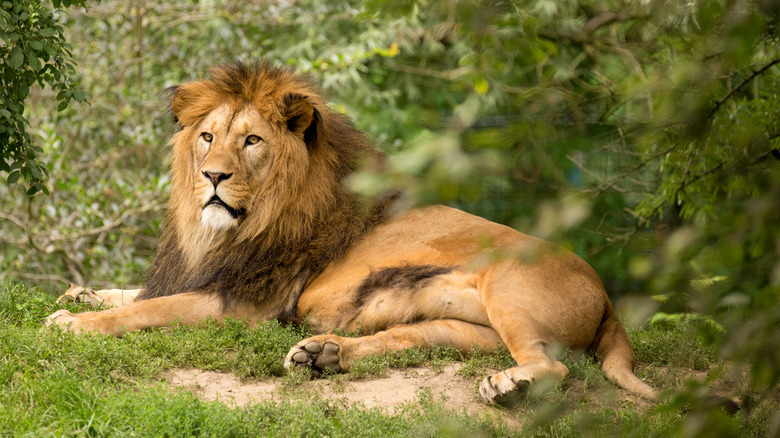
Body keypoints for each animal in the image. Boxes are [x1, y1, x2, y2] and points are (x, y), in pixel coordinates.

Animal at [47, 60, 660, 404]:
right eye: (207, 137)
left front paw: (73, 323)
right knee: (408, 342)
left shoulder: (242, 305)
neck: (227, 232)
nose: (212, 176)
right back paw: (324, 354)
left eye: (252, 141)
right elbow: (135, 293)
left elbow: (147, 310)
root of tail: (607, 297)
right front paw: (77, 294)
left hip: (510, 286)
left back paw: (508, 388)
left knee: (554, 365)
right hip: (463, 328)